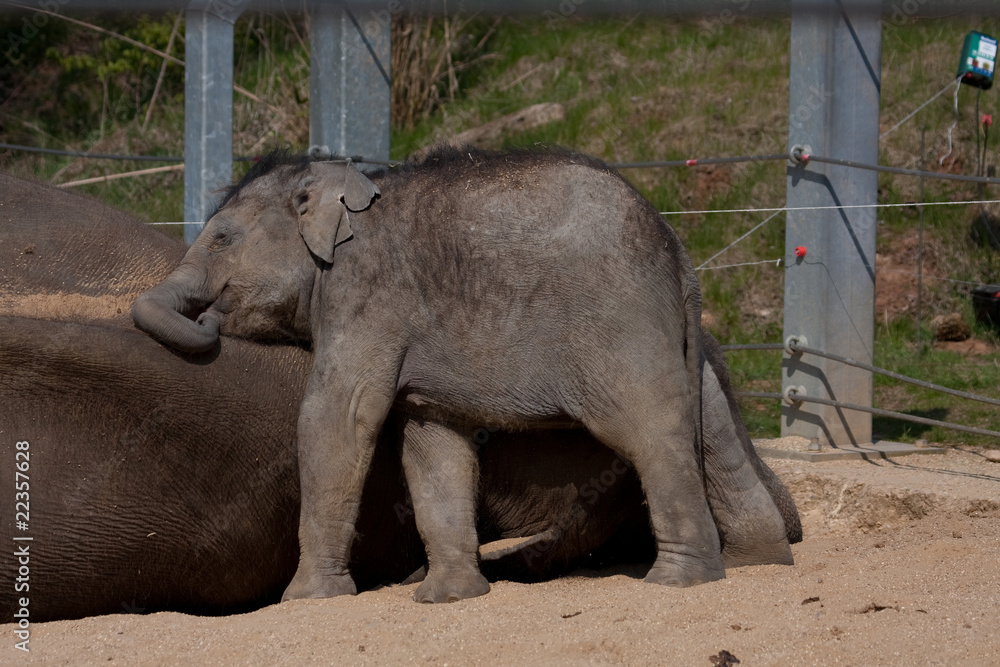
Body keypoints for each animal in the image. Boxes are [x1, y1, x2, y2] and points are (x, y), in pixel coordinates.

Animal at [1, 169, 799, 621]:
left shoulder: (367, 297)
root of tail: (676, 246)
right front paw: (446, 599)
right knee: (712, 431)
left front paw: (306, 602)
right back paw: (759, 563)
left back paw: (679, 581)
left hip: (617, 324)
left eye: (222, 237)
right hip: (675, 333)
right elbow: (427, 437)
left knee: (649, 432)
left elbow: (338, 417)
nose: (207, 323)